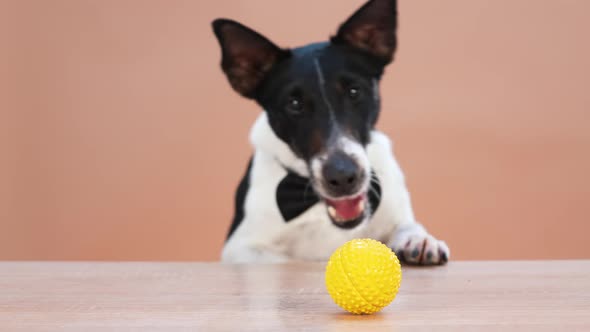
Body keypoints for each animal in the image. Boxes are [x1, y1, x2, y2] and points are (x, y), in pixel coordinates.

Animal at [215, 0, 450, 264]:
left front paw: (418, 239)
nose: (343, 176)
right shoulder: (241, 246)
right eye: (294, 104)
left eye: (354, 91)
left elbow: (407, 225)